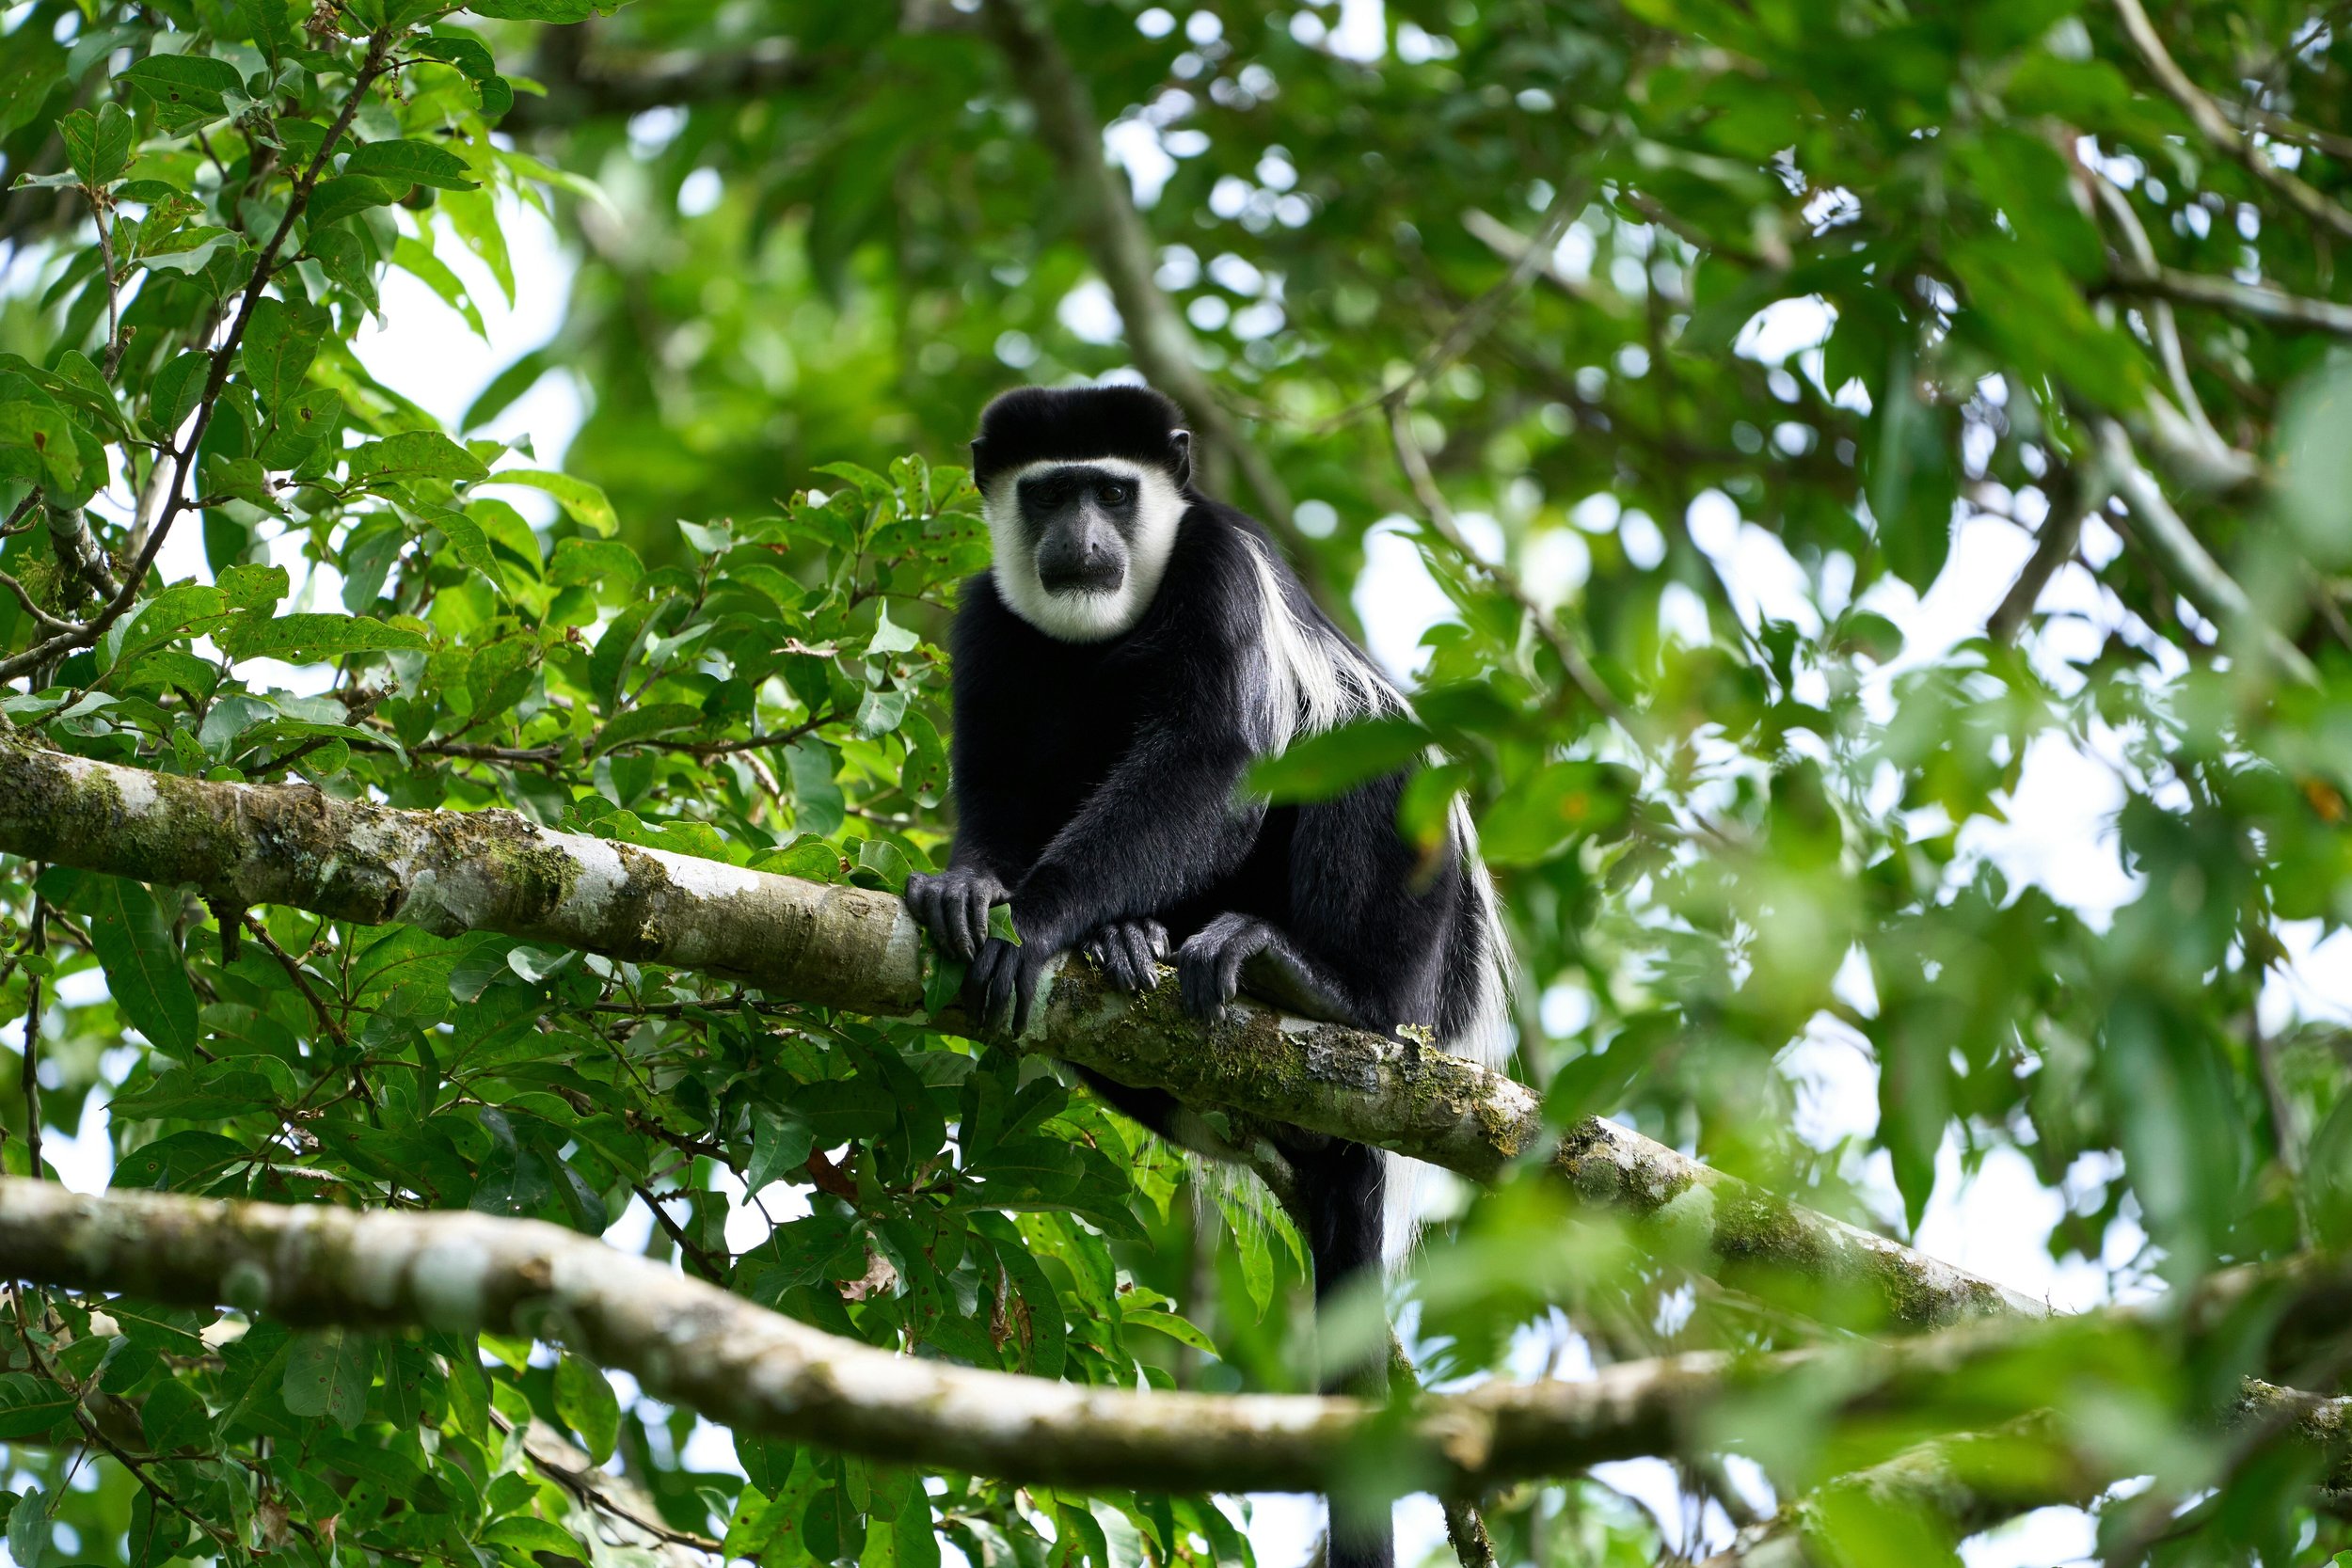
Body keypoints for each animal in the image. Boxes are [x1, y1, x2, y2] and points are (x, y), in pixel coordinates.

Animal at [905, 384, 1509, 1568]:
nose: (1079, 539)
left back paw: (1312, 985)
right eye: (1047, 492)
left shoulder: (1217, 564)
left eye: (1110, 491)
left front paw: (1037, 920)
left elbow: (1217, 752)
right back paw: (1133, 940)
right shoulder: (987, 619)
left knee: (1360, 747)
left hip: (1416, 960)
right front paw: (970, 889)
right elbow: (995, 787)